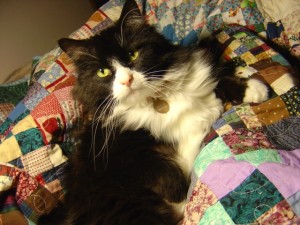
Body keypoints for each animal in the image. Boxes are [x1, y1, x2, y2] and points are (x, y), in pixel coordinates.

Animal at [38, 0, 270, 223]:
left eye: (133, 54)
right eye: (103, 72)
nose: (127, 80)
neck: (156, 99)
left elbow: (216, 78)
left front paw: (254, 89)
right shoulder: (128, 152)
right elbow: (171, 171)